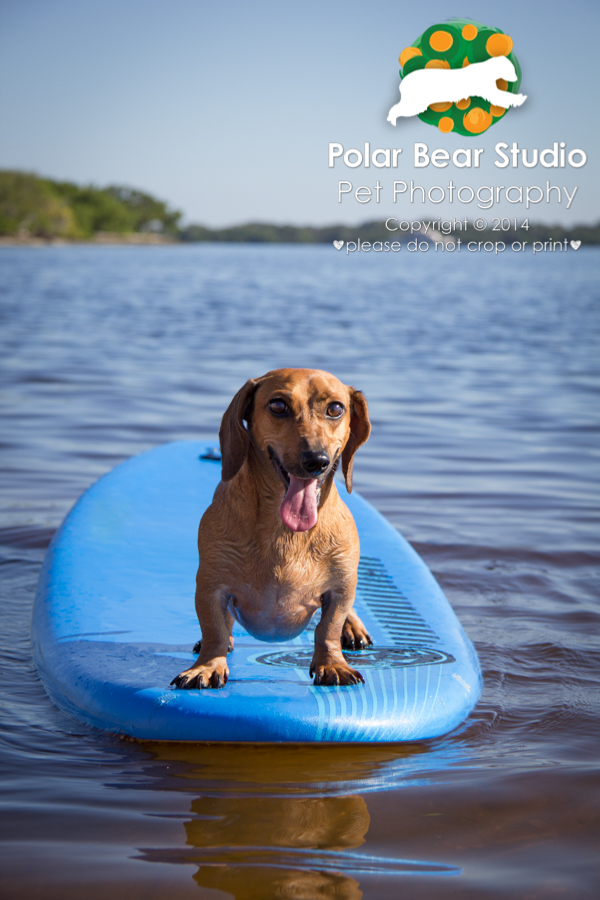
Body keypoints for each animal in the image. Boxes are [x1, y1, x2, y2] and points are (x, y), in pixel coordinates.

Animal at [171, 366, 372, 688]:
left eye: (335, 409)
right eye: (278, 406)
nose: (316, 460)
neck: (285, 533)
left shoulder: (340, 589)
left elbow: (328, 628)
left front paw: (332, 664)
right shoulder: (210, 586)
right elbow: (214, 629)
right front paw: (207, 665)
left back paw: (352, 627)